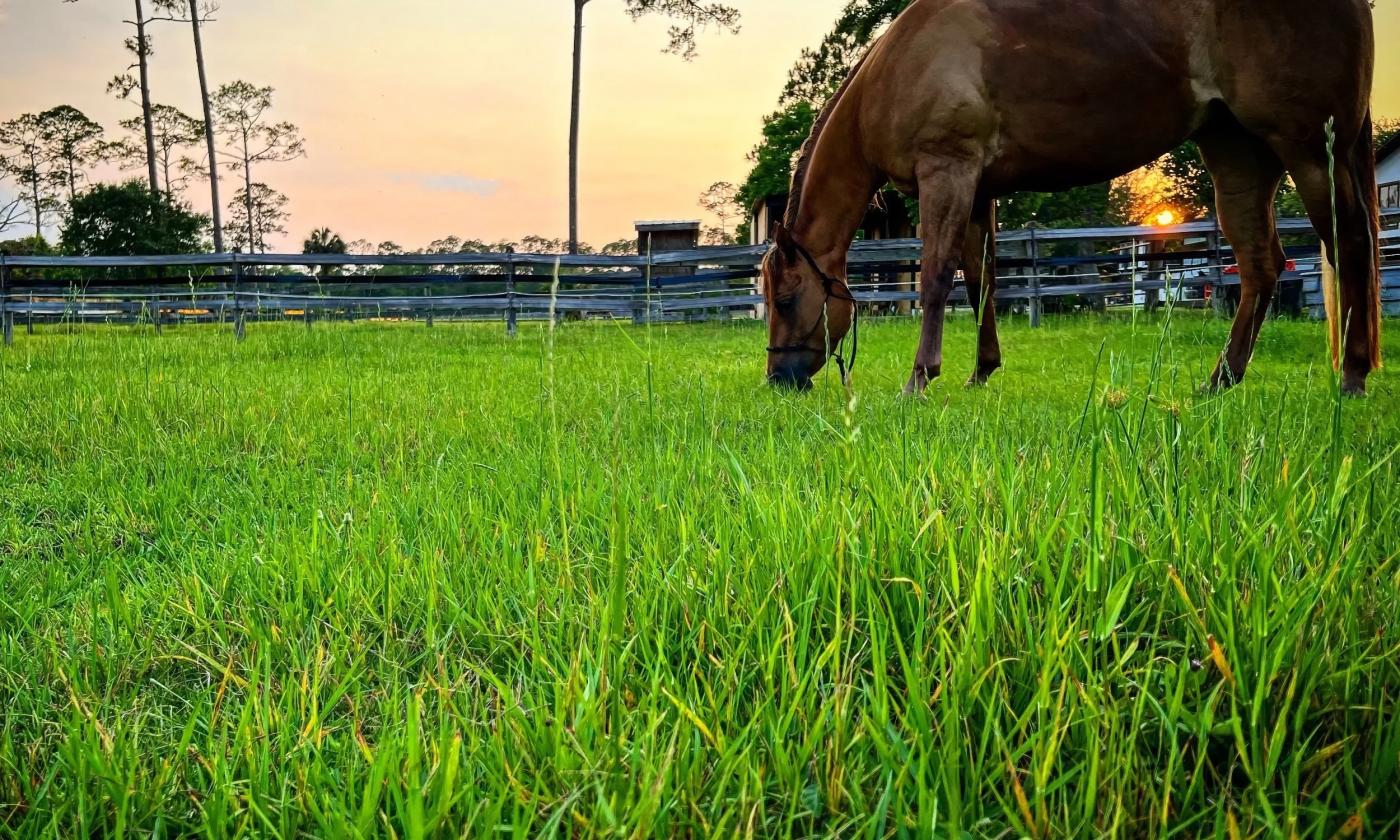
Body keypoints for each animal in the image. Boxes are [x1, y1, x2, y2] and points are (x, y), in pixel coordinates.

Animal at [763, 0, 1381, 396]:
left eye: (786, 300)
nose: (779, 379)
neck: (899, 69)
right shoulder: (978, 190)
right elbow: (982, 280)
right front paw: (981, 371)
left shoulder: (948, 172)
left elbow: (937, 277)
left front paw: (920, 377)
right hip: (1239, 156)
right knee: (1260, 268)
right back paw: (1220, 381)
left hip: (1308, 150)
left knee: (1351, 243)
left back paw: (1352, 375)